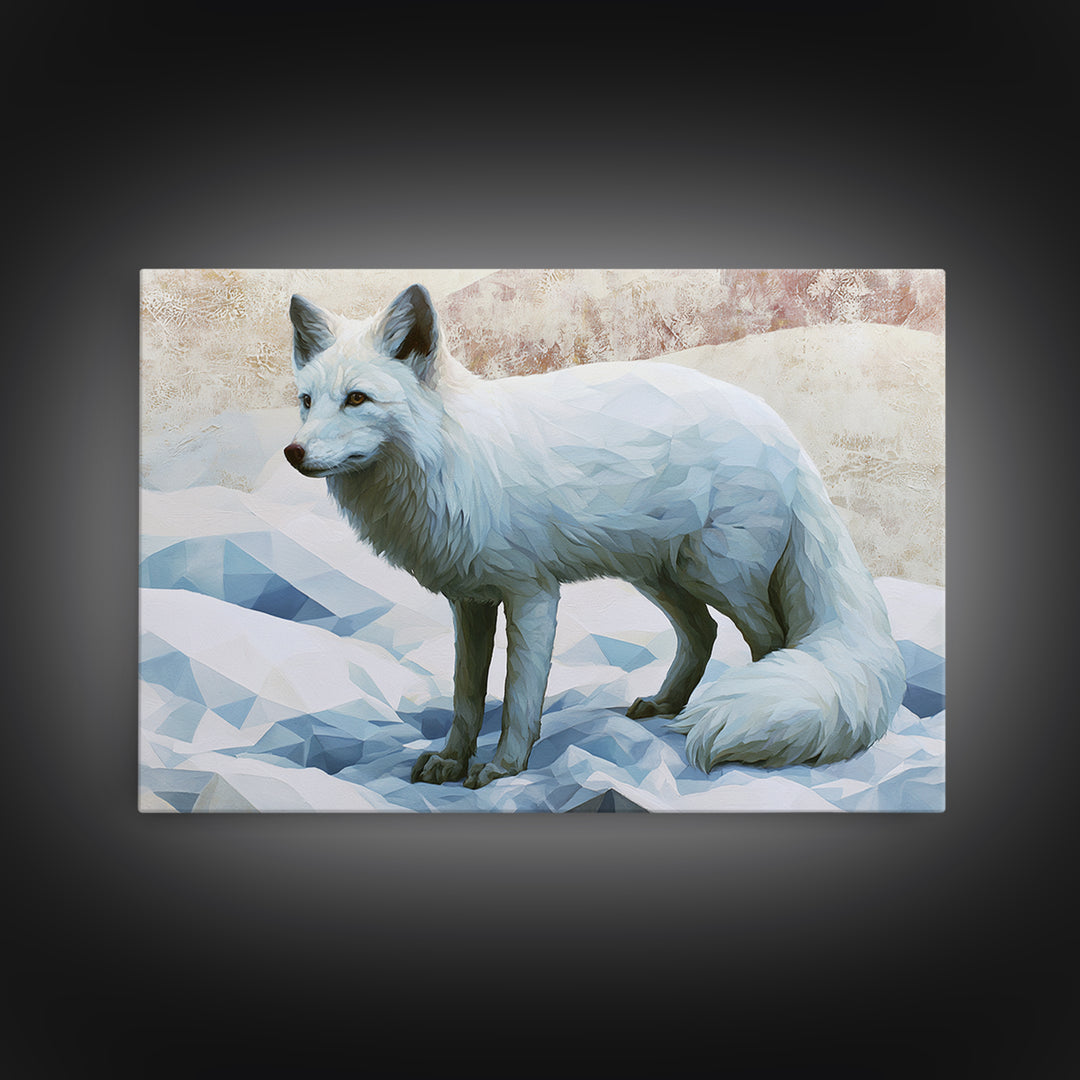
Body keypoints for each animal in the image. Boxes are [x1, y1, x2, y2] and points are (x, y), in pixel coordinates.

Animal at [283, 283, 906, 790]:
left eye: (357, 399)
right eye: (307, 402)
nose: (292, 453)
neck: (455, 461)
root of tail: (785, 432)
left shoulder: (532, 595)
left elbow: (518, 697)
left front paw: (503, 768)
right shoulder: (470, 601)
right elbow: (466, 697)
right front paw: (452, 760)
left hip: (718, 574)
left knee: (772, 641)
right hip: (660, 576)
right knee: (702, 633)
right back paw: (666, 704)